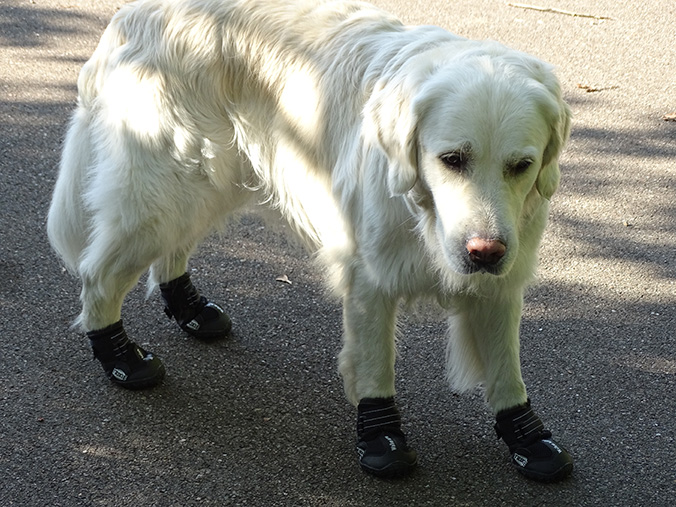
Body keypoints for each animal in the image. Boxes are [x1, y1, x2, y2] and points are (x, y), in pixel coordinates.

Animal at [47, 0, 572, 484]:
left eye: (521, 166)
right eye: (452, 159)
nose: (485, 252)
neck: (420, 209)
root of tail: (134, 13)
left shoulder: (502, 282)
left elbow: (506, 369)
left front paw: (528, 438)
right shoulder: (369, 278)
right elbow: (375, 364)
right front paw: (381, 438)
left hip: (209, 177)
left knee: (172, 249)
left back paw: (191, 309)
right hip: (163, 190)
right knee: (99, 275)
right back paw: (120, 356)